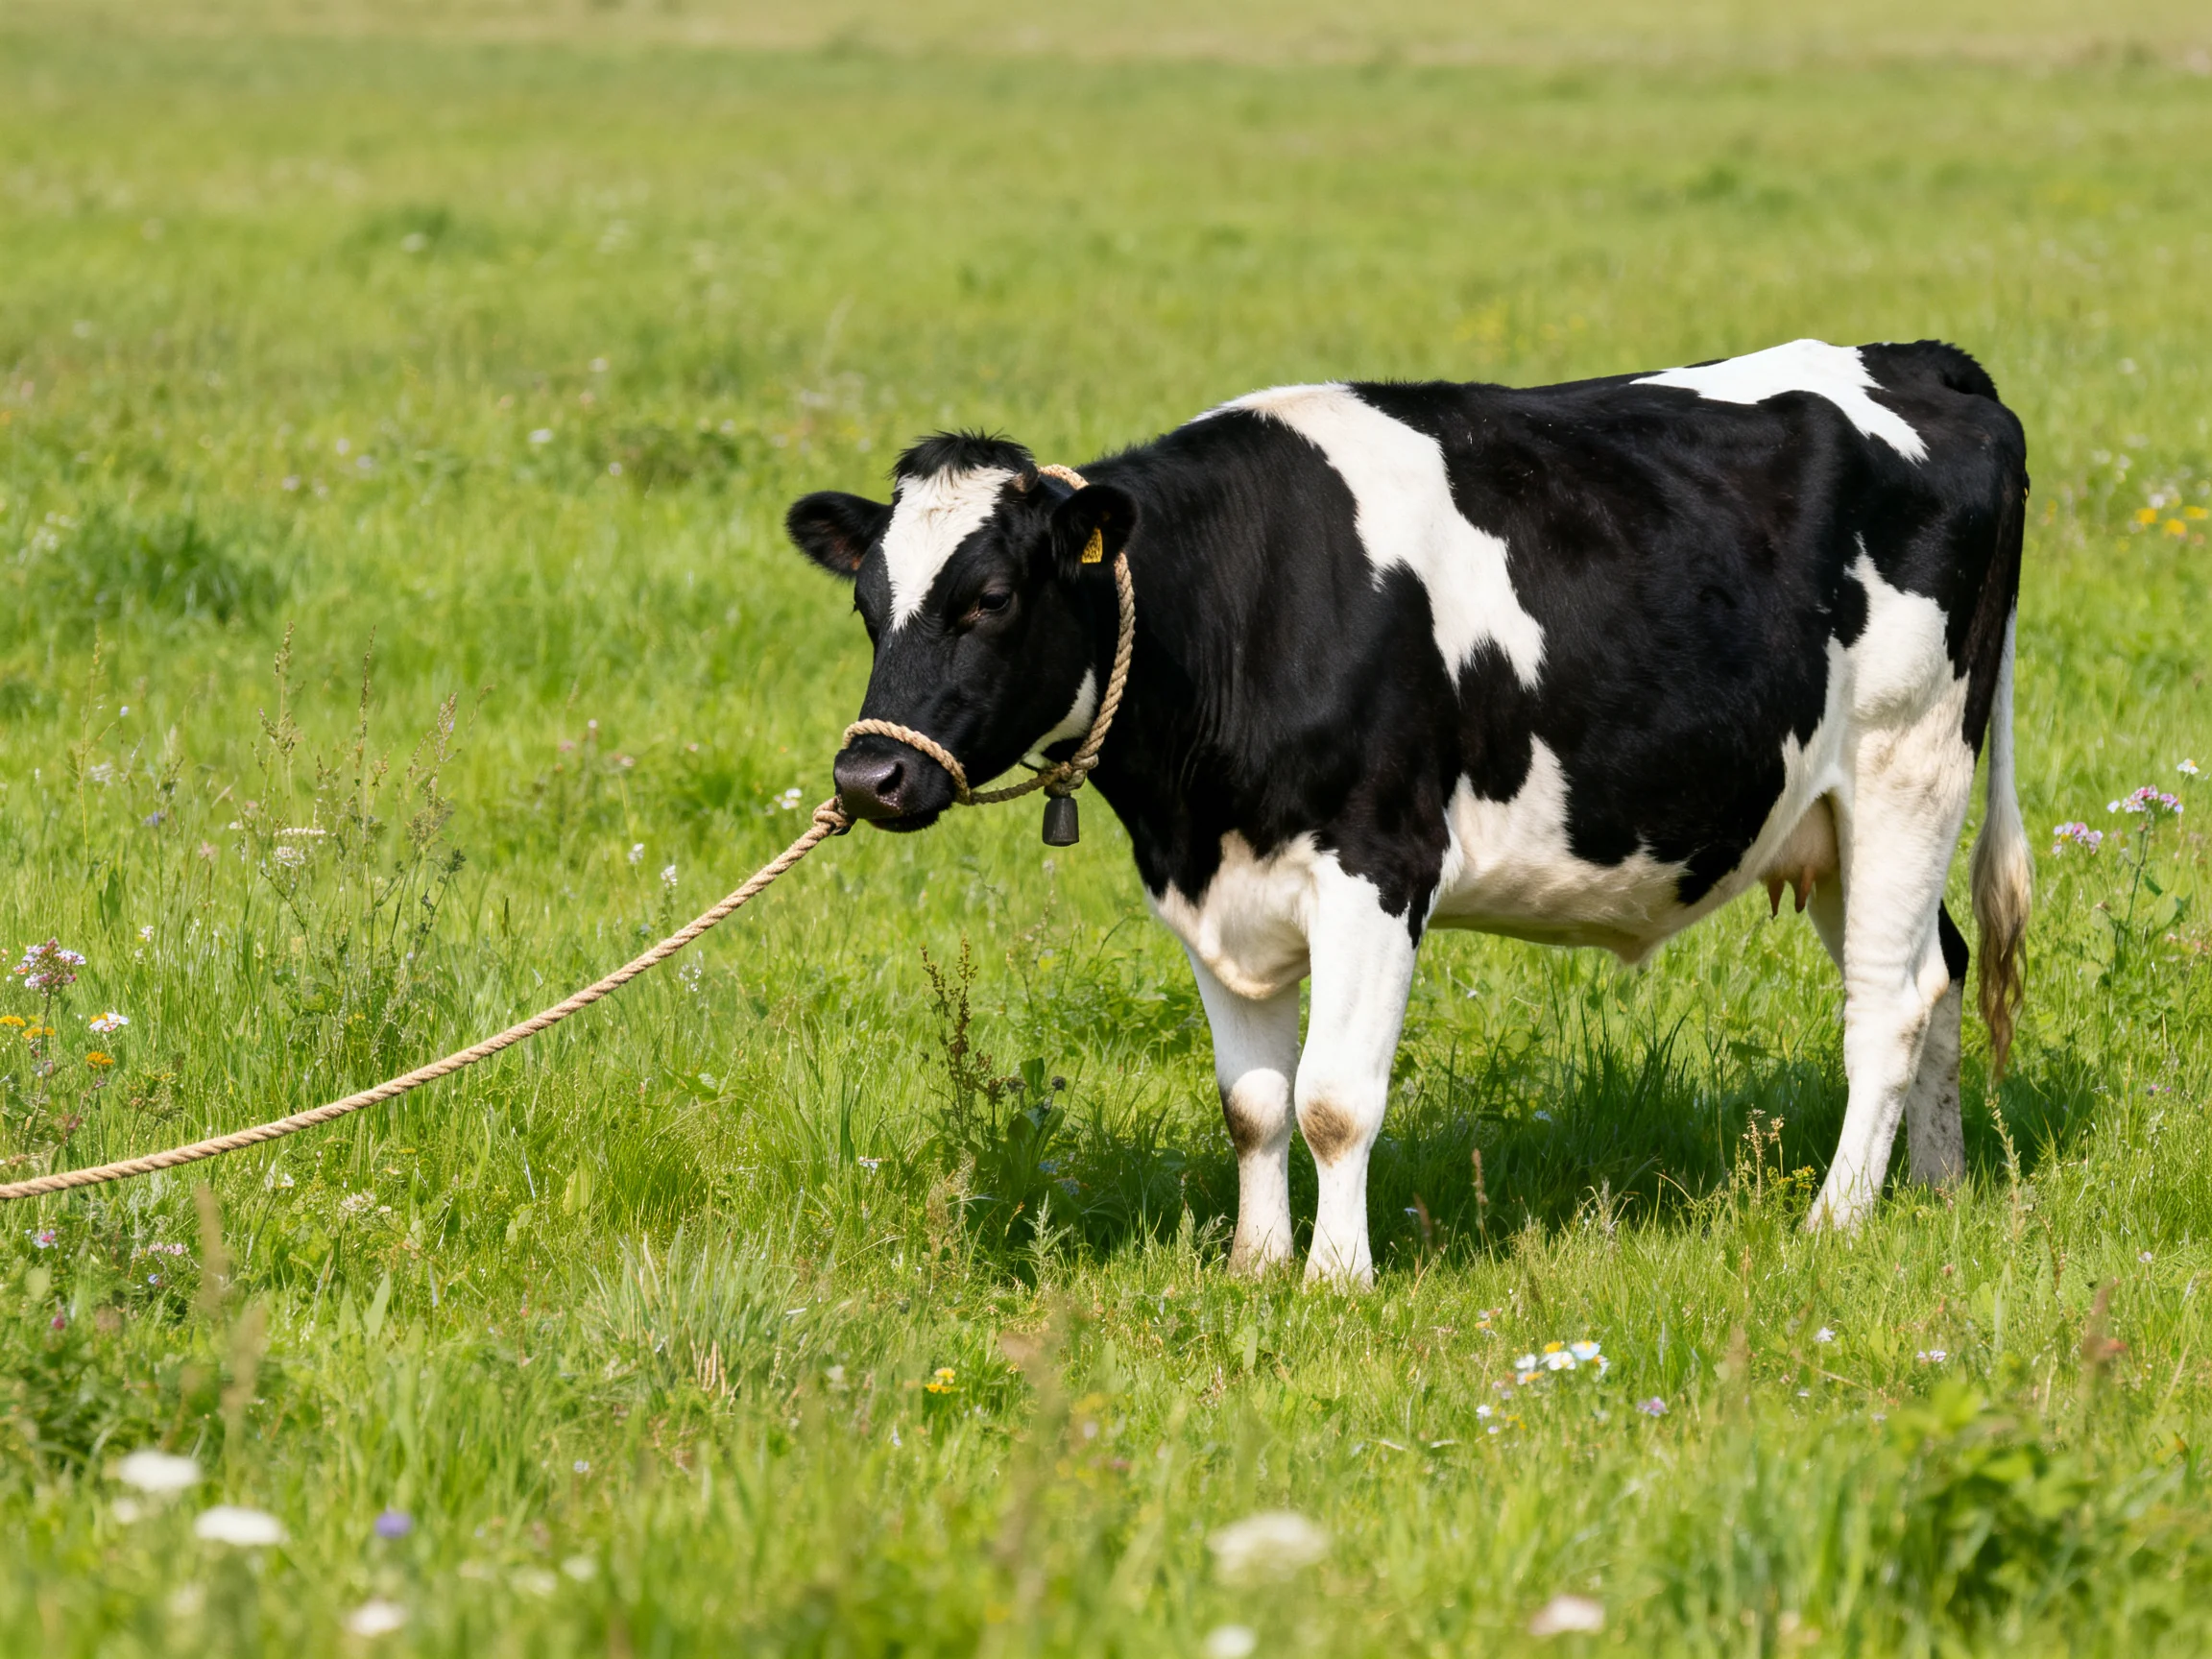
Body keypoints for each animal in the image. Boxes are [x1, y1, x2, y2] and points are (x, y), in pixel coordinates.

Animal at [787, 337, 2031, 1287]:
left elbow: (1335, 1101)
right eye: (867, 603)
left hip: (1908, 762)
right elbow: (1253, 1104)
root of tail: (1922, 360)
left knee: (1891, 1001)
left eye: (992, 598)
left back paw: (1836, 1219)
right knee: (1941, 968)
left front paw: (1337, 1281)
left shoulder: (1378, 864)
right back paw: (1939, 1189)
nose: (867, 778)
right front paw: (1253, 1267)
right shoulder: (1210, 886)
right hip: (1821, 820)